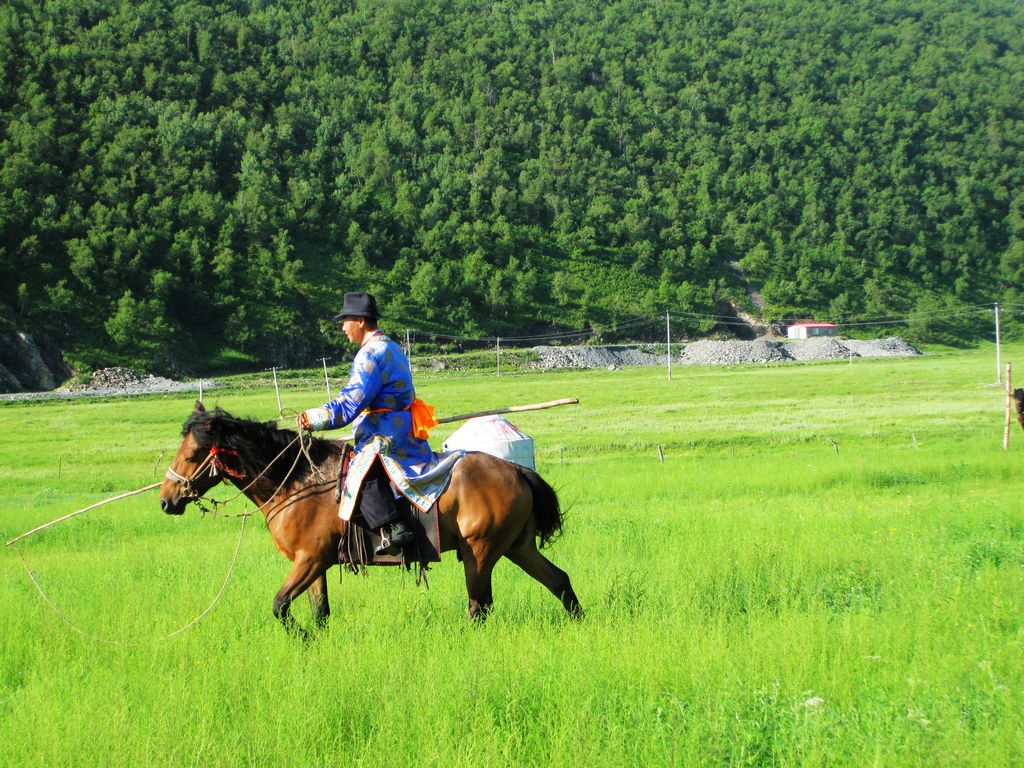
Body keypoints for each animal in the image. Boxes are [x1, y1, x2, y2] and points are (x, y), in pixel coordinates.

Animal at [156, 403, 581, 630]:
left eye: (192, 454)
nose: (166, 500)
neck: (296, 481)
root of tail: (517, 471)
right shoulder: (315, 564)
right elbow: (319, 611)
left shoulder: (309, 560)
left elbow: (280, 606)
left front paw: (300, 637)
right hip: (516, 547)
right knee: (558, 581)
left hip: (480, 553)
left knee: (480, 607)